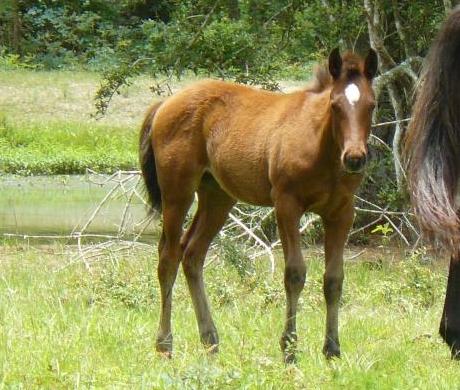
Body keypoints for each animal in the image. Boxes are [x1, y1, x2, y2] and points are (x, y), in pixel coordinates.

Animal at [140, 48, 378, 362]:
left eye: (372, 105)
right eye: (335, 105)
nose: (354, 158)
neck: (322, 149)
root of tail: (164, 104)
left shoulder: (341, 212)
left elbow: (334, 278)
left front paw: (332, 350)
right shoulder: (286, 204)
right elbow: (295, 273)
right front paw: (289, 349)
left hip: (218, 196)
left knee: (192, 254)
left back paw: (210, 341)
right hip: (177, 192)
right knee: (168, 257)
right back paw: (165, 345)